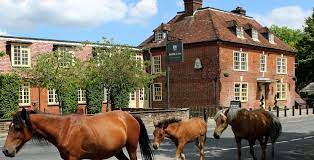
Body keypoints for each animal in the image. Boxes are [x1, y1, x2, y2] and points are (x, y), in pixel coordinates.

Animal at [1, 107, 154, 160]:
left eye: (17, 128)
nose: (6, 150)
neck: (64, 129)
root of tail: (130, 116)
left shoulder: (73, 158)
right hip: (117, 151)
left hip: (131, 148)